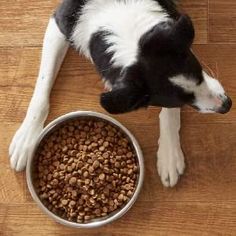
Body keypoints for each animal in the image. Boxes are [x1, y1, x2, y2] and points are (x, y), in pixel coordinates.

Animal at [8, 0, 230, 188]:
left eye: (200, 74)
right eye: (185, 99)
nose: (227, 106)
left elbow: (169, 114)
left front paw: (169, 152)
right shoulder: (59, 23)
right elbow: (42, 85)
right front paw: (27, 137)